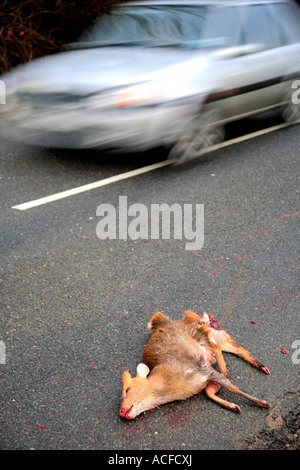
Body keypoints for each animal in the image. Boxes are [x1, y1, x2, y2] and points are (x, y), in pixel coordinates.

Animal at [119, 312, 272, 418]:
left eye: (127, 390)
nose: (121, 411)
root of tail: (160, 319)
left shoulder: (199, 365)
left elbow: (232, 387)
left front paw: (262, 402)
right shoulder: (204, 379)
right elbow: (209, 392)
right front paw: (233, 406)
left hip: (204, 333)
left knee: (217, 346)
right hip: (217, 338)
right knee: (235, 348)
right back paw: (259, 365)